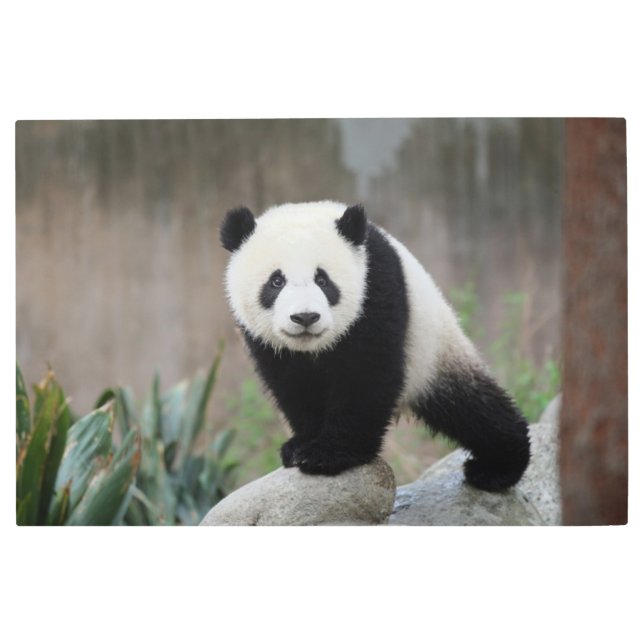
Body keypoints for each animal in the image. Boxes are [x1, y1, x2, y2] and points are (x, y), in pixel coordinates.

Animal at [220, 200, 530, 492]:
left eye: (323, 280)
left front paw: (329, 454)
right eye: (276, 281)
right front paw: (300, 446)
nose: (305, 317)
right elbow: (292, 385)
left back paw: (497, 467)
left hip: (434, 351)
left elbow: (367, 374)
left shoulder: (376, 287)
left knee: (472, 408)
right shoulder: (268, 343)